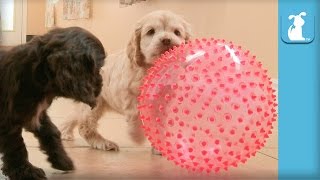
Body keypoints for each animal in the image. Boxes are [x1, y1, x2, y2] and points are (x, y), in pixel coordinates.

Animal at [0, 26, 107, 179]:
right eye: (97, 68)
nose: (101, 83)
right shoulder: (9, 119)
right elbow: (16, 146)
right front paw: (26, 171)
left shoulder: (36, 114)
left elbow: (52, 132)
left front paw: (62, 160)